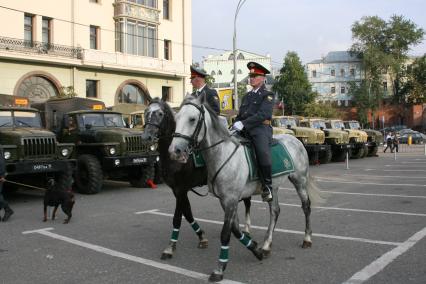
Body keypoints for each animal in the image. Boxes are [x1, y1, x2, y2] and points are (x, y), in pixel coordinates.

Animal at [168, 95, 322, 282]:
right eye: (176, 119)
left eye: (192, 119)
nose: (174, 151)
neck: (223, 155)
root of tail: (296, 140)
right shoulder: (225, 201)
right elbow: (235, 229)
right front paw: (256, 249)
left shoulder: (231, 199)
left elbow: (226, 233)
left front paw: (219, 269)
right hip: (274, 188)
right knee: (275, 211)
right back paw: (266, 245)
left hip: (299, 180)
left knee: (306, 206)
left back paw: (307, 239)